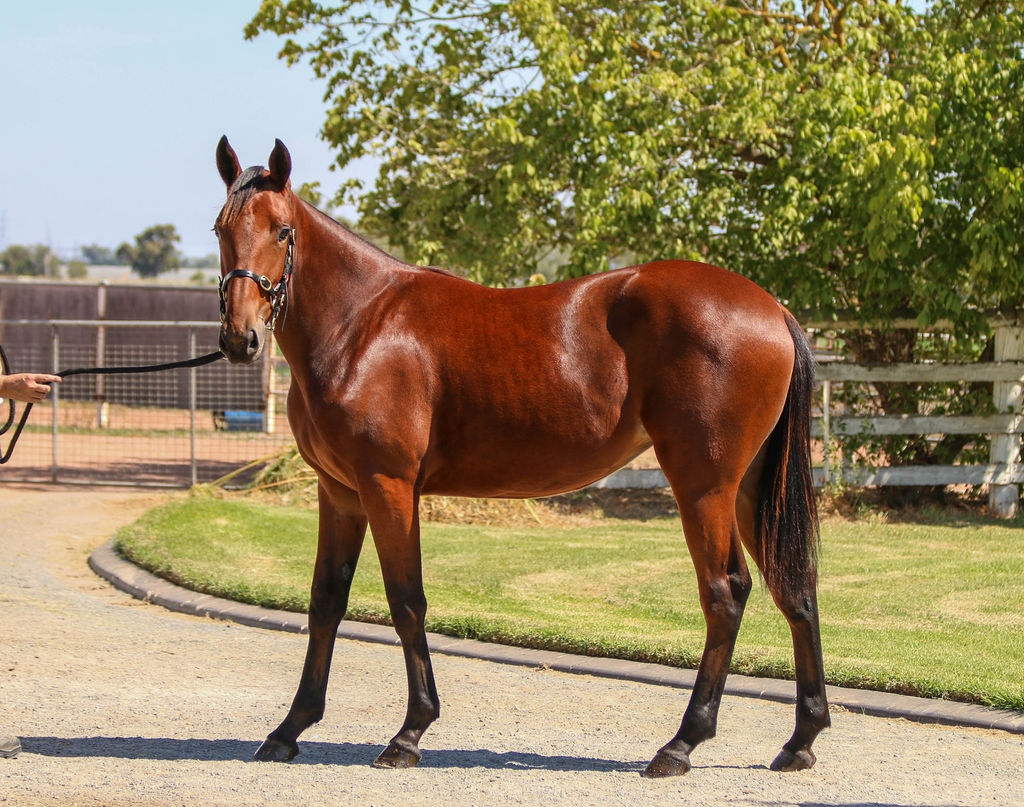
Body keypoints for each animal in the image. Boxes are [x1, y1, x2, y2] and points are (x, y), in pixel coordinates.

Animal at [214, 136, 829, 778]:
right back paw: (800, 739)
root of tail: (773, 309)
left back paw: (682, 742)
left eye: (282, 231)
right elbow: (326, 601)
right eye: (220, 229)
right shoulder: (339, 492)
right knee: (795, 588)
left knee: (725, 593)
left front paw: (410, 732)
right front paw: (290, 727)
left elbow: (406, 601)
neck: (362, 325)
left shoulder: (388, 486)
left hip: (704, 486)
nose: (240, 337)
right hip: (748, 486)